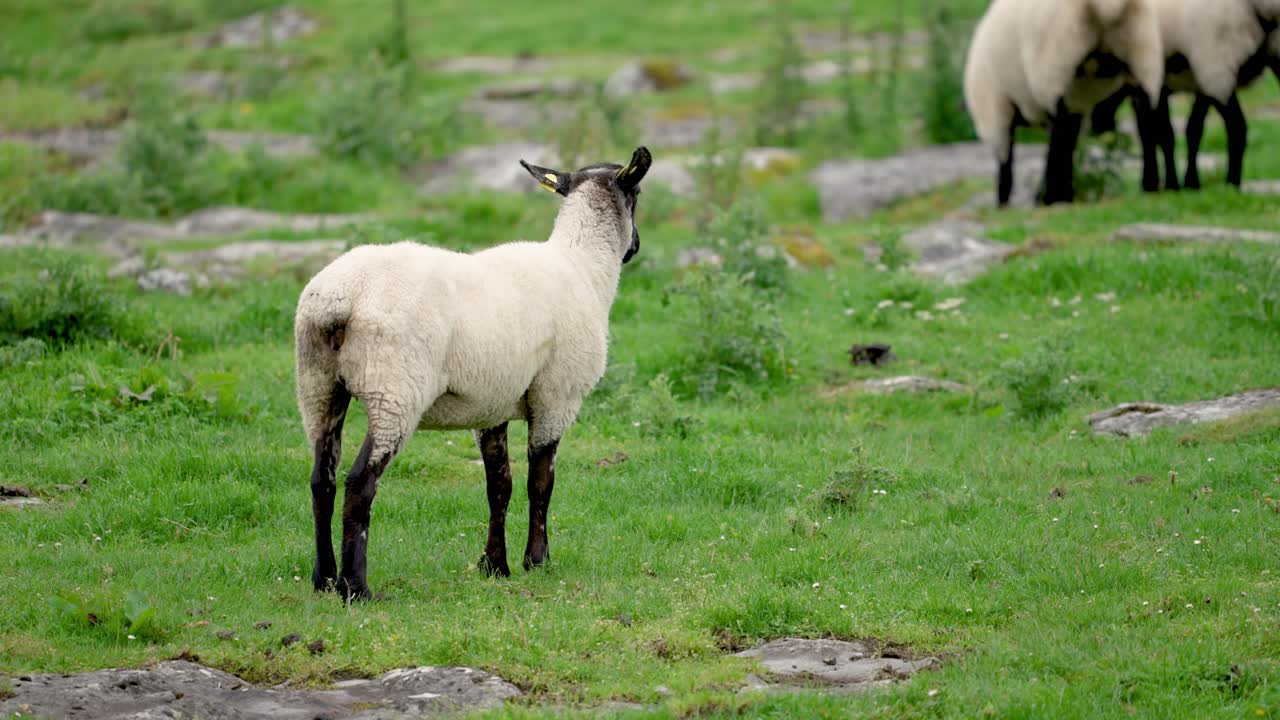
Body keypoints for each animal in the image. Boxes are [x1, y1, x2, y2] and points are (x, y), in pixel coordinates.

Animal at [294, 147, 651, 601]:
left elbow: (499, 486)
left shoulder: (493, 403)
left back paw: (323, 578)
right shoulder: (557, 396)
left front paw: (494, 565)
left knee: (321, 480)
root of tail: (339, 299)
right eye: (637, 194)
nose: (634, 246)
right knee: (359, 483)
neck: (582, 265)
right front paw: (537, 560)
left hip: (318, 385)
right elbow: (541, 482)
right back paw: (356, 587)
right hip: (394, 389)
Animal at [964, 0, 1164, 206]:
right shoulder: (1076, 105)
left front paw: (1004, 201)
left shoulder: (996, 108)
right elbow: (1070, 141)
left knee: (1058, 131)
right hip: (1140, 51)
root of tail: (1107, 7)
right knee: (1146, 121)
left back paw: (1050, 195)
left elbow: (1005, 160)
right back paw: (1149, 185)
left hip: (1056, 58)